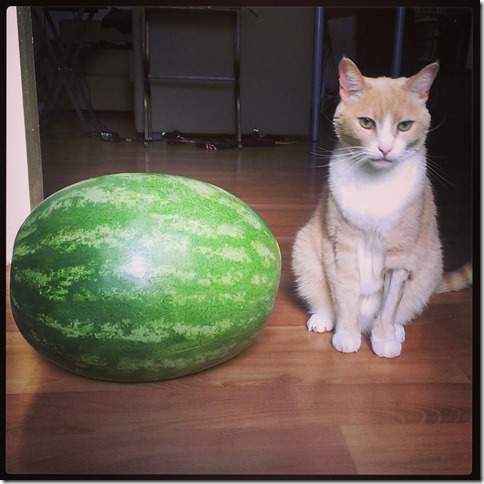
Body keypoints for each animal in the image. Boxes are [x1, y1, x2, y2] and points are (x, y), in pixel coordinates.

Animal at [290, 58, 470, 358]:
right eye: (366, 123)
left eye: (405, 126)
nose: (385, 149)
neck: (375, 185)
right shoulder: (341, 247)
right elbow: (345, 296)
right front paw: (347, 335)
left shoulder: (400, 257)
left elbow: (389, 307)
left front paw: (384, 340)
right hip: (305, 250)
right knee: (325, 300)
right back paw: (324, 318)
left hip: (430, 266)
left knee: (400, 310)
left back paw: (395, 330)